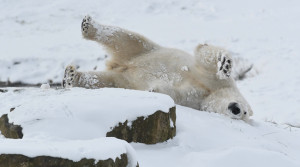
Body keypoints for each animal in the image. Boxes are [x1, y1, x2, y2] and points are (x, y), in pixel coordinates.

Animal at [62, 15, 253, 120]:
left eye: (244, 115)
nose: (236, 109)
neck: (211, 92)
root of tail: (121, 66)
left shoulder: (196, 100)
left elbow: (176, 94)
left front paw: (154, 91)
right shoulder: (216, 83)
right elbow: (205, 54)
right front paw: (224, 64)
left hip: (123, 80)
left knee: (103, 81)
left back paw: (71, 77)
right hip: (148, 50)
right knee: (127, 38)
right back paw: (88, 26)